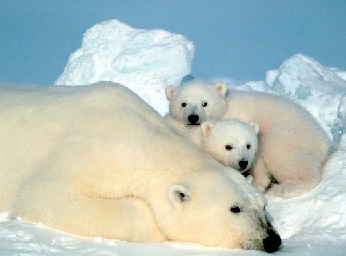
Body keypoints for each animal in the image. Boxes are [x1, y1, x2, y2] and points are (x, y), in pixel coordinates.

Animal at [166, 80, 332, 198]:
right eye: (183, 104)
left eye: (204, 103)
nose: (193, 117)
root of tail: (323, 140)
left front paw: (257, 184)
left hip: (290, 133)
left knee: (281, 153)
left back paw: (286, 188)